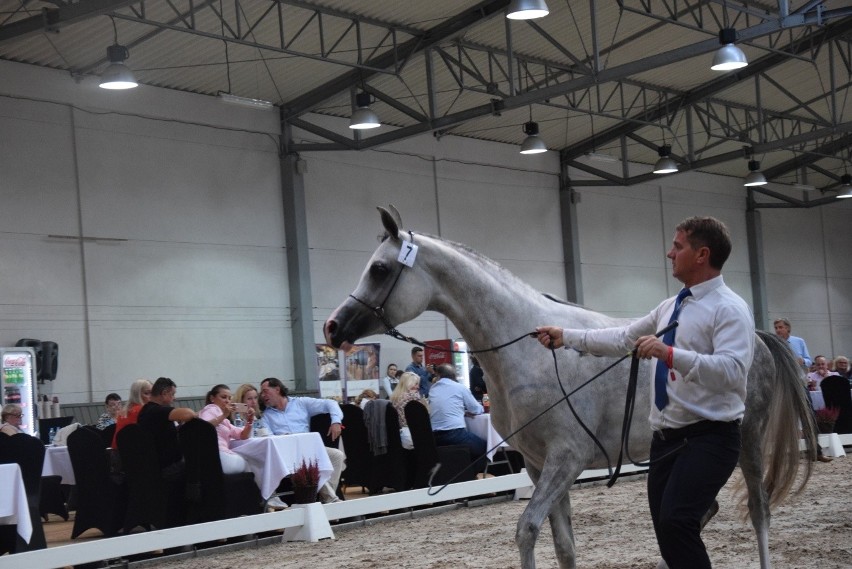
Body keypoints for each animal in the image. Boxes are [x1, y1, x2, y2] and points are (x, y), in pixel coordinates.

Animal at [322, 206, 816, 564]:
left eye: (380, 269)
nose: (333, 326)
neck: (528, 351)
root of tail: (757, 336)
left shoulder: (567, 460)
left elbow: (526, 531)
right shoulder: (538, 465)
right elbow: (563, 545)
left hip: (746, 441)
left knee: (759, 513)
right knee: (699, 514)